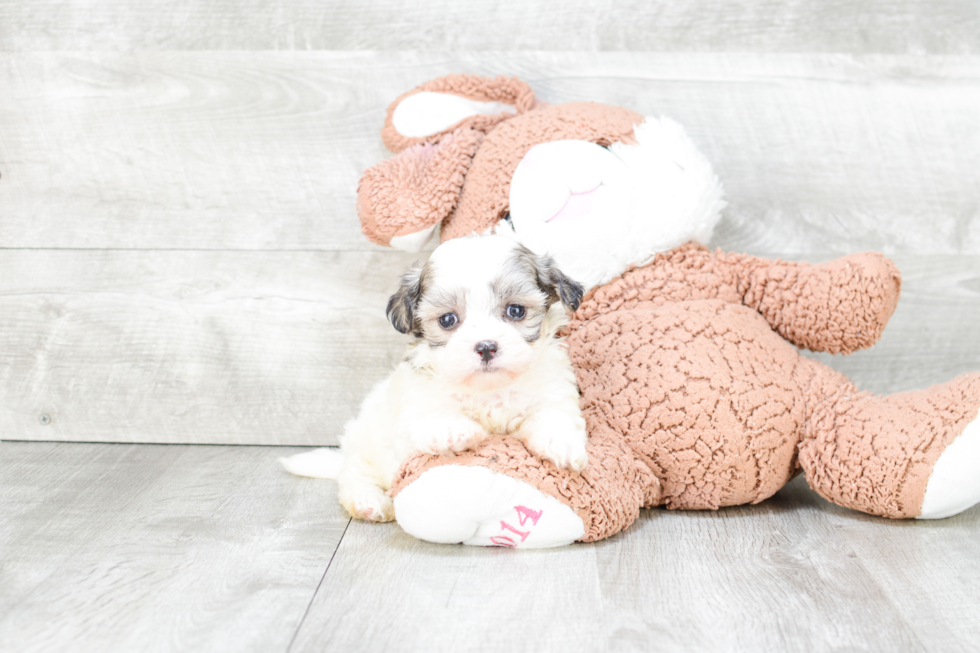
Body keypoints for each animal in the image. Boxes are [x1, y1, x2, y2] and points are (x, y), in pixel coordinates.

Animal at [284, 233, 588, 520]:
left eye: (516, 310)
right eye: (447, 320)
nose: (486, 347)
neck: (488, 390)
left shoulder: (552, 390)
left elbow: (553, 414)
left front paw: (564, 444)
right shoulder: (411, 412)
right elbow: (430, 418)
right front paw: (456, 430)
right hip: (365, 442)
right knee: (353, 473)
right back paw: (367, 501)